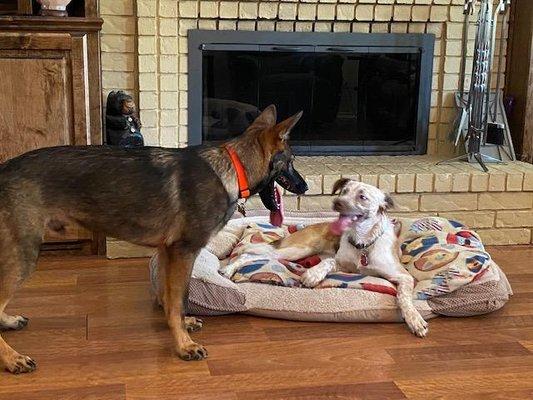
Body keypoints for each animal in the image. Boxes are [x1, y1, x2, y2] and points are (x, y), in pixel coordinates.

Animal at [0, 104, 308, 374]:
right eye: (291, 163)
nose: (305, 186)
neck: (234, 168)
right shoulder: (184, 252)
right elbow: (179, 299)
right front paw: (184, 345)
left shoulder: (166, 252)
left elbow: (169, 298)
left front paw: (178, 326)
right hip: (25, 254)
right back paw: (12, 359)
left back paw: (9, 322)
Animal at [274, 179, 428, 338]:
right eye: (344, 191)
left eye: (362, 197)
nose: (337, 202)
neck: (362, 243)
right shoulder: (342, 264)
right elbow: (328, 261)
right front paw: (313, 274)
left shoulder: (404, 276)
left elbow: (403, 296)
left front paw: (414, 318)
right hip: (299, 250)